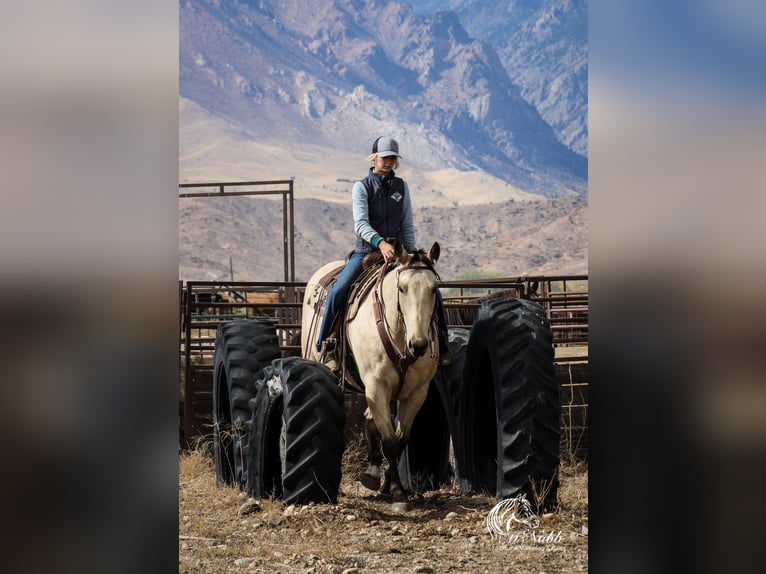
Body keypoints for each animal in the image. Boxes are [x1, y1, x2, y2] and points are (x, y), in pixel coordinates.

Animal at [302, 242, 444, 512]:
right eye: (402, 288)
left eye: (434, 288)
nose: (419, 344)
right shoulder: (376, 387)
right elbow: (389, 441)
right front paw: (398, 494)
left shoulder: (416, 392)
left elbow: (401, 439)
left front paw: (387, 484)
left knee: (370, 419)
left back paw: (372, 473)